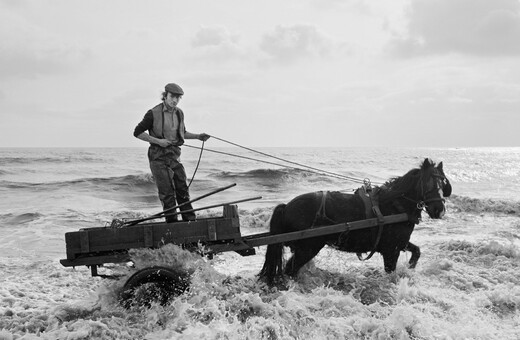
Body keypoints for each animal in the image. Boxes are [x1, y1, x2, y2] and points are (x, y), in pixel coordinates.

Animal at [258, 159, 450, 284]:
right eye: (428, 182)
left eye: (443, 183)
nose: (439, 210)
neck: (394, 205)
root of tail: (286, 207)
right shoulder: (391, 250)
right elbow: (391, 273)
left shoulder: (399, 243)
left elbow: (417, 251)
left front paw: (410, 267)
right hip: (308, 247)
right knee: (290, 270)